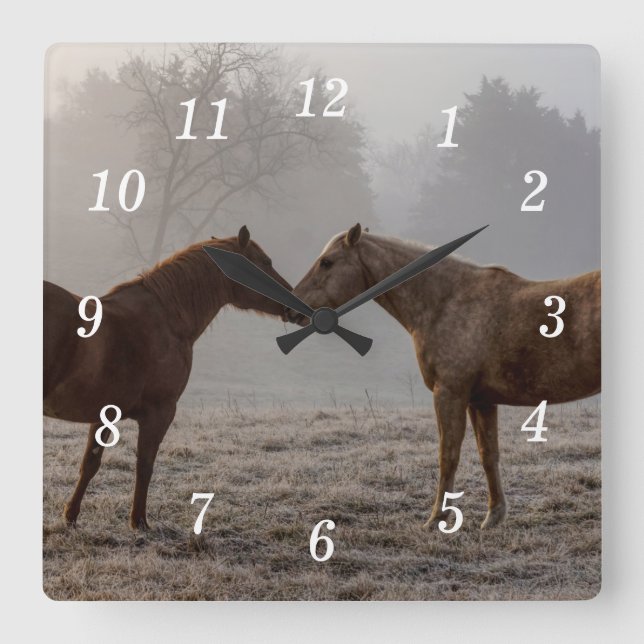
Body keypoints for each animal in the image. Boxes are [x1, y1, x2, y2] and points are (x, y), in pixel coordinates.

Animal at [44, 226, 291, 529]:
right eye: (265, 262)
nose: (293, 303)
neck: (168, 319)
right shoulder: (160, 413)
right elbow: (145, 466)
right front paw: (139, 522)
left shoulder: (105, 413)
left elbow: (90, 464)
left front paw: (71, 516)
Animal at [287, 223, 601, 529]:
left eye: (327, 262)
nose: (292, 310)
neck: (447, 301)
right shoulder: (480, 401)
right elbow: (489, 455)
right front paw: (494, 515)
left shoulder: (449, 393)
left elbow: (447, 456)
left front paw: (436, 518)